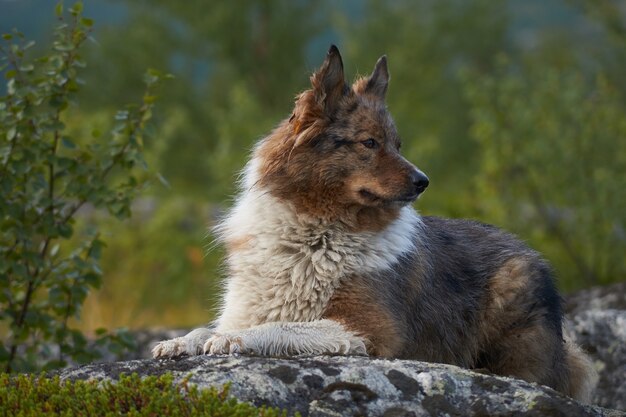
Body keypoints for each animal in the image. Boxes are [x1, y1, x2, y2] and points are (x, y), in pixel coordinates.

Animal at [152, 44, 596, 400]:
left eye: (397, 145)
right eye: (370, 143)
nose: (423, 181)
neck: (316, 235)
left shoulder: (367, 330)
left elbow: (283, 328)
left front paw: (231, 339)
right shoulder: (248, 305)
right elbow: (211, 327)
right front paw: (183, 341)